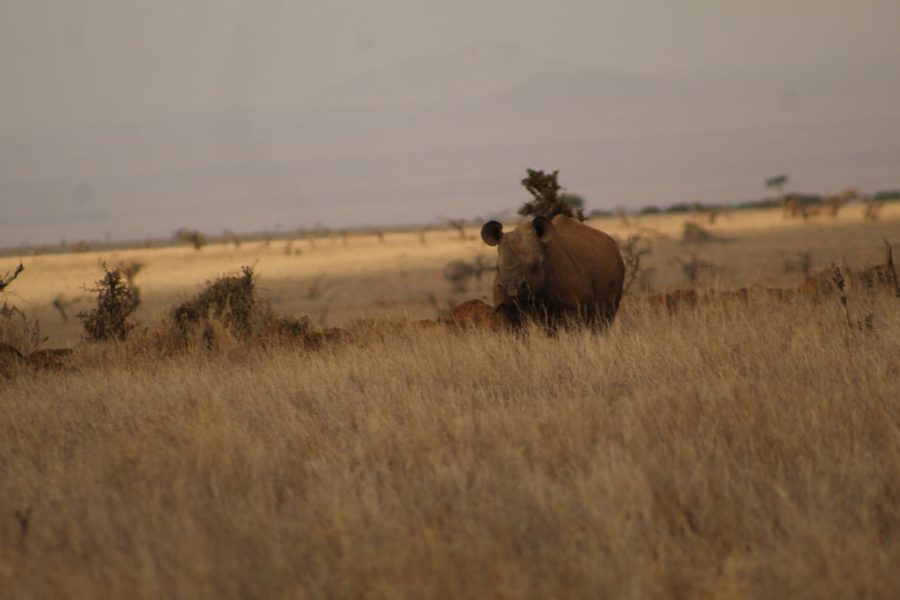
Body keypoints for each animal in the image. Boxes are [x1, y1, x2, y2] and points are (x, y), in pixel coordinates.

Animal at [478, 214, 624, 328]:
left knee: (602, 320)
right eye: (496, 268)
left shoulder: (572, 304)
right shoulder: (504, 306)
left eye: (536, 264)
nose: (512, 289)